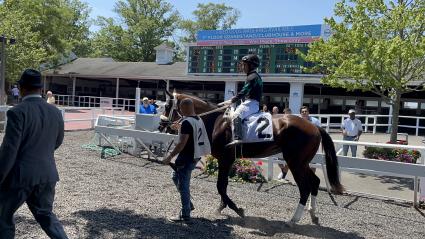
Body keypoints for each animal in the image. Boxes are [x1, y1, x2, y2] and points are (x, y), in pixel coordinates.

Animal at [161, 91, 342, 224]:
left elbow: (221, 186)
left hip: (295, 163)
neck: (216, 122)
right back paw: (313, 215)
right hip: (302, 163)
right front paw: (222, 206)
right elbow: (223, 185)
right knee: (315, 182)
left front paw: (236, 209)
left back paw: (293, 219)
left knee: (305, 188)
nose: (161, 125)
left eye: (167, 106)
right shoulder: (223, 160)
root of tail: (315, 127)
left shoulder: (226, 159)